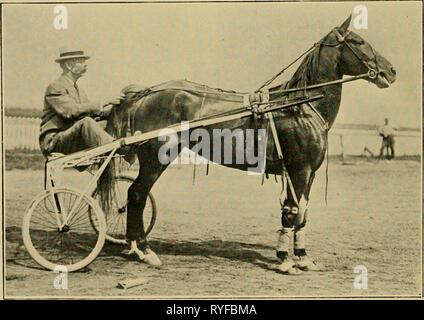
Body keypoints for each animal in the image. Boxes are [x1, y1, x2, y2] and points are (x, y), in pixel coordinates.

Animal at [105, 16, 394, 272]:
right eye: (357, 41)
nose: (390, 70)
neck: (300, 106)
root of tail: (143, 94)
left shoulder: (308, 173)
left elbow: (302, 213)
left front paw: (302, 257)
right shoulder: (298, 170)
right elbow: (291, 211)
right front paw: (285, 259)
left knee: (135, 195)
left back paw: (133, 247)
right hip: (155, 157)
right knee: (137, 194)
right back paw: (144, 249)